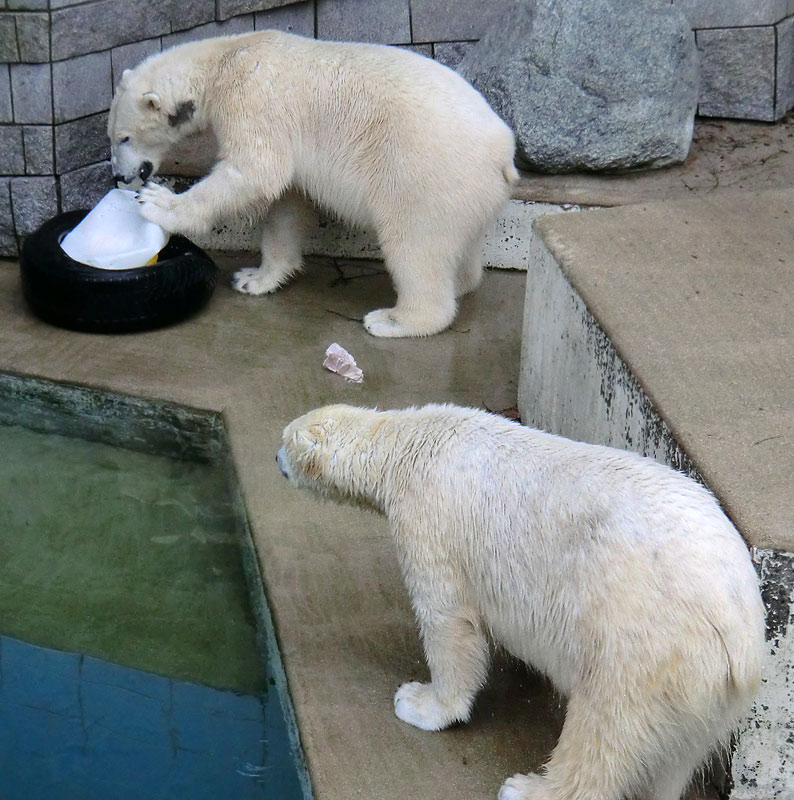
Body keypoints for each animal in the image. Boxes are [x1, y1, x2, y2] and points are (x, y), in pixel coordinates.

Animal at [106, 30, 512, 338]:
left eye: (123, 138)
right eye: (111, 136)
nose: (120, 177)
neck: (224, 59)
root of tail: (503, 152)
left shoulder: (252, 99)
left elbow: (255, 171)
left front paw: (158, 203)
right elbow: (285, 201)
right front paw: (254, 278)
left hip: (423, 172)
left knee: (414, 242)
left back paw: (393, 319)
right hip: (468, 192)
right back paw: (460, 283)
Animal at [280, 404, 768, 800]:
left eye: (285, 439)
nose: (275, 458)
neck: (408, 445)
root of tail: (737, 625)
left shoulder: (429, 521)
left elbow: (448, 621)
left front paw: (420, 702)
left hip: (640, 641)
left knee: (605, 727)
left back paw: (527, 788)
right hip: (706, 691)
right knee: (675, 758)